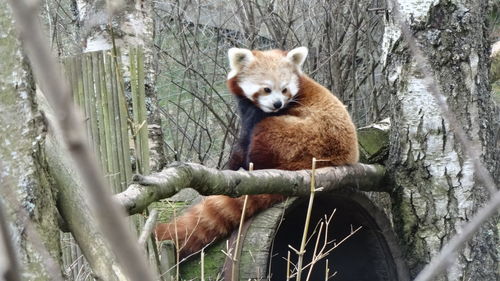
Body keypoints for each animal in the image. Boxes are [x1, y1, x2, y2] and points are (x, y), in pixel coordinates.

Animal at [154, 46, 358, 258]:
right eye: (266, 89)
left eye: (285, 89)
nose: (278, 104)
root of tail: (331, 160)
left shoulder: (263, 115)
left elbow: (245, 141)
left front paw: (235, 165)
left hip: (299, 136)